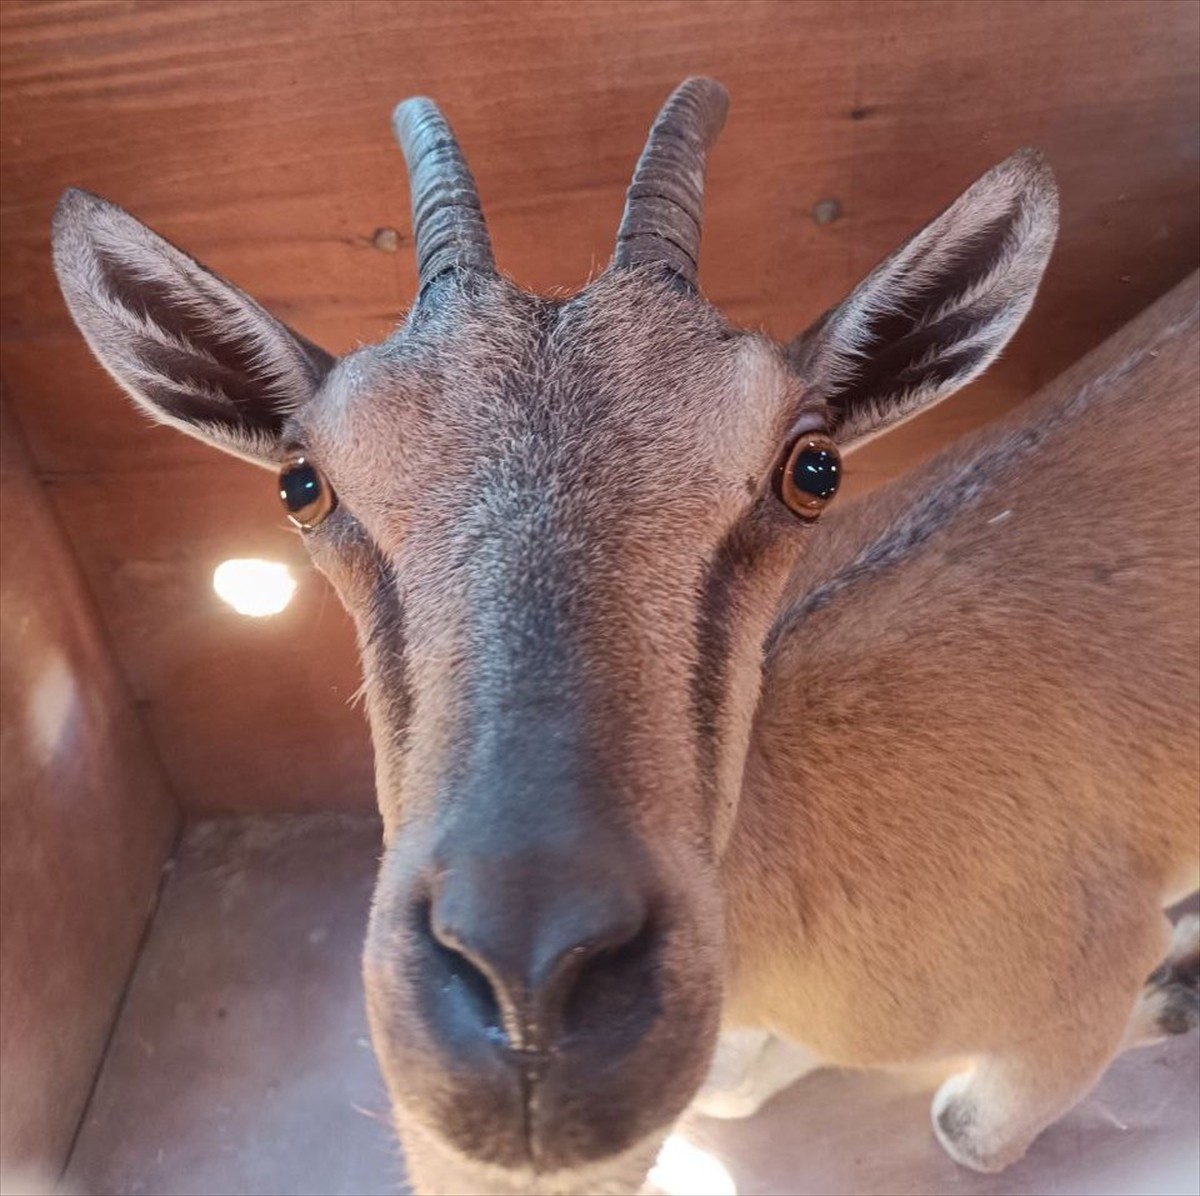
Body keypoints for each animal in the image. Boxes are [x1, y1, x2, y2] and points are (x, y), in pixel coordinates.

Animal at [51, 79, 1195, 1194]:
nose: (532, 991)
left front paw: (1173, 987)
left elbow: (965, 1125)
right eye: (302, 482)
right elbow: (731, 1086)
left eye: (813, 467)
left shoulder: (1070, 993)